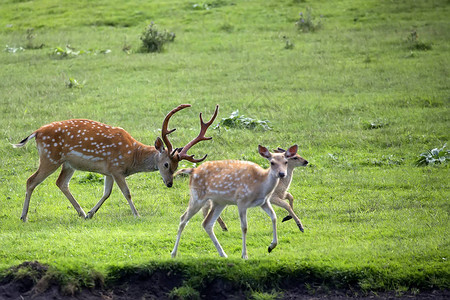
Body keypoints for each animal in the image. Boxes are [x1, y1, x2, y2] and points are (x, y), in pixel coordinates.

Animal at [13, 104, 218, 221]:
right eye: (167, 164)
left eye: (176, 167)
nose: (169, 183)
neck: (132, 156)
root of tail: (36, 133)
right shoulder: (116, 168)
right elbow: (127, 193)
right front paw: (137, 214)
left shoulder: (109, 172)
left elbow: (107, 193)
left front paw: (91, 213)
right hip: (50, 157)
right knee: (31, 180)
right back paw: (23, 216)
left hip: (68, 164)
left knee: (61, 183)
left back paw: (81, 212)